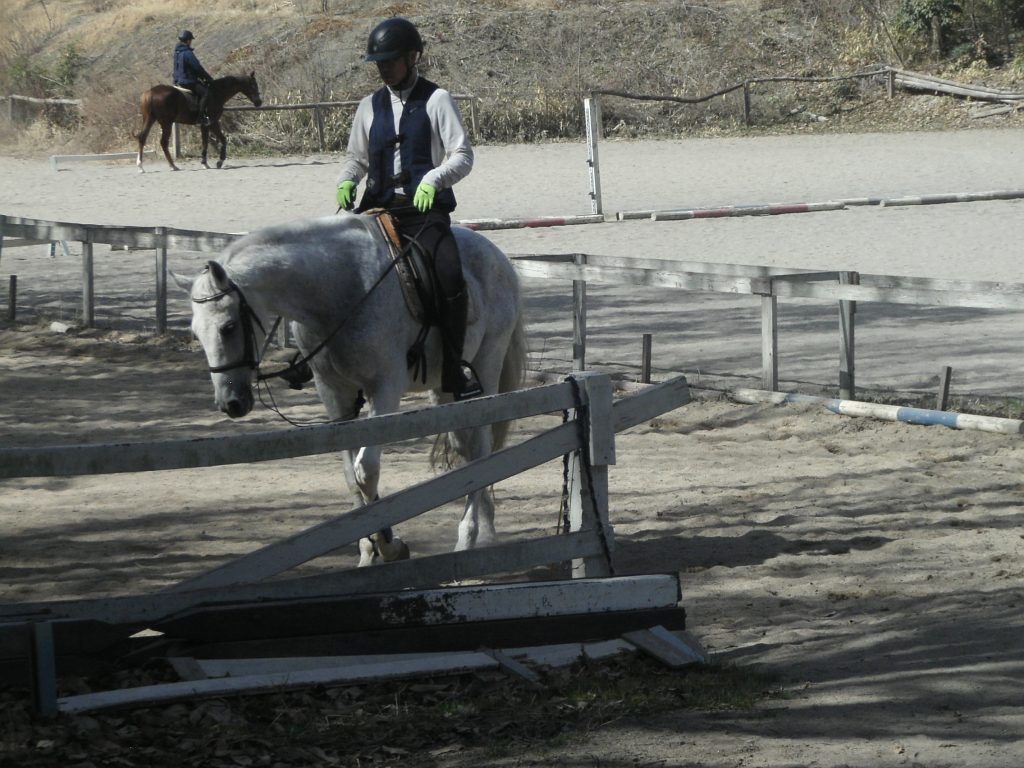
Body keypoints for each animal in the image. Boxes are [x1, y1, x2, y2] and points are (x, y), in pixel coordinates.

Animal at [173, 212, 527, 566]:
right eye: (195, 333)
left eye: (228, 327)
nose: (229, 402)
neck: (338, 293)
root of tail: (499, 257)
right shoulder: (334, 394)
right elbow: (350, 475)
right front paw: (371, 549)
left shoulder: (385, 388)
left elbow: (366, 470)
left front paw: (389, 546)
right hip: (444, 390)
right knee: (465, 447)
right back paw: (485, 526)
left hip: (486, 367)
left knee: (480, 445)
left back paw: (470, 538)